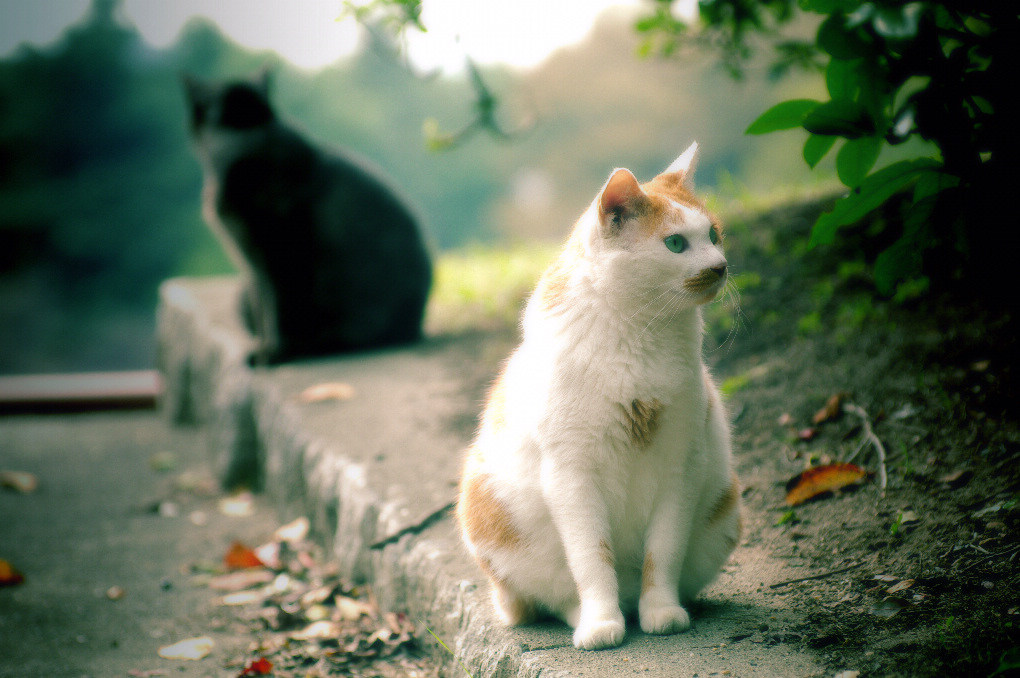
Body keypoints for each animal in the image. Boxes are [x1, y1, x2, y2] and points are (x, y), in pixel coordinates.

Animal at [183, 71, 430, 362]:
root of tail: (416, 327)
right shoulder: (256, 268)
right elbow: (265, 309)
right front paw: (265, 348)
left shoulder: (279, 256)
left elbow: (277, 310)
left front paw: (273, 354)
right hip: (242, 292)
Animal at [459, 143, 738, 652]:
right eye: (675, 244)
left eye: (713, 234)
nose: (719, 266)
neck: (640, 334)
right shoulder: (571, 475)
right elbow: (592, 559)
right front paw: (600, 624)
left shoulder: (681, 466)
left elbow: (662, 554)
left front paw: (662, 612)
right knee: (557, 596)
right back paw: (588, 617)